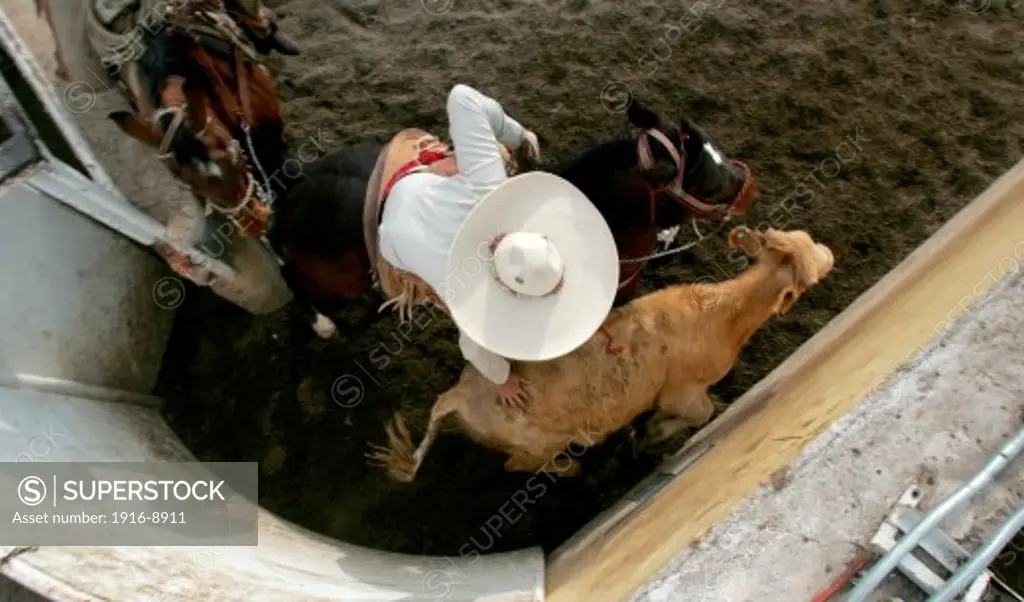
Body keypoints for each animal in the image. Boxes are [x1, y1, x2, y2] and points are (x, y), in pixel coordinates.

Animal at [268, 98, 757, 337]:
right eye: (706, 181)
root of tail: (297, 182)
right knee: (290, 277)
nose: (745, 183)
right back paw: (322, 324)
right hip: (331, 276)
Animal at [372, 228, 835, 481]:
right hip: (537, 447)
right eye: (811, 265)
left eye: (801, 240)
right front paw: (650, 435)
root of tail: (462, 393)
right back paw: (572, 468)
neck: (721, 314)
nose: (830, 253)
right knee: (516, 466)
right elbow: (699, 413)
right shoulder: (683, 394)